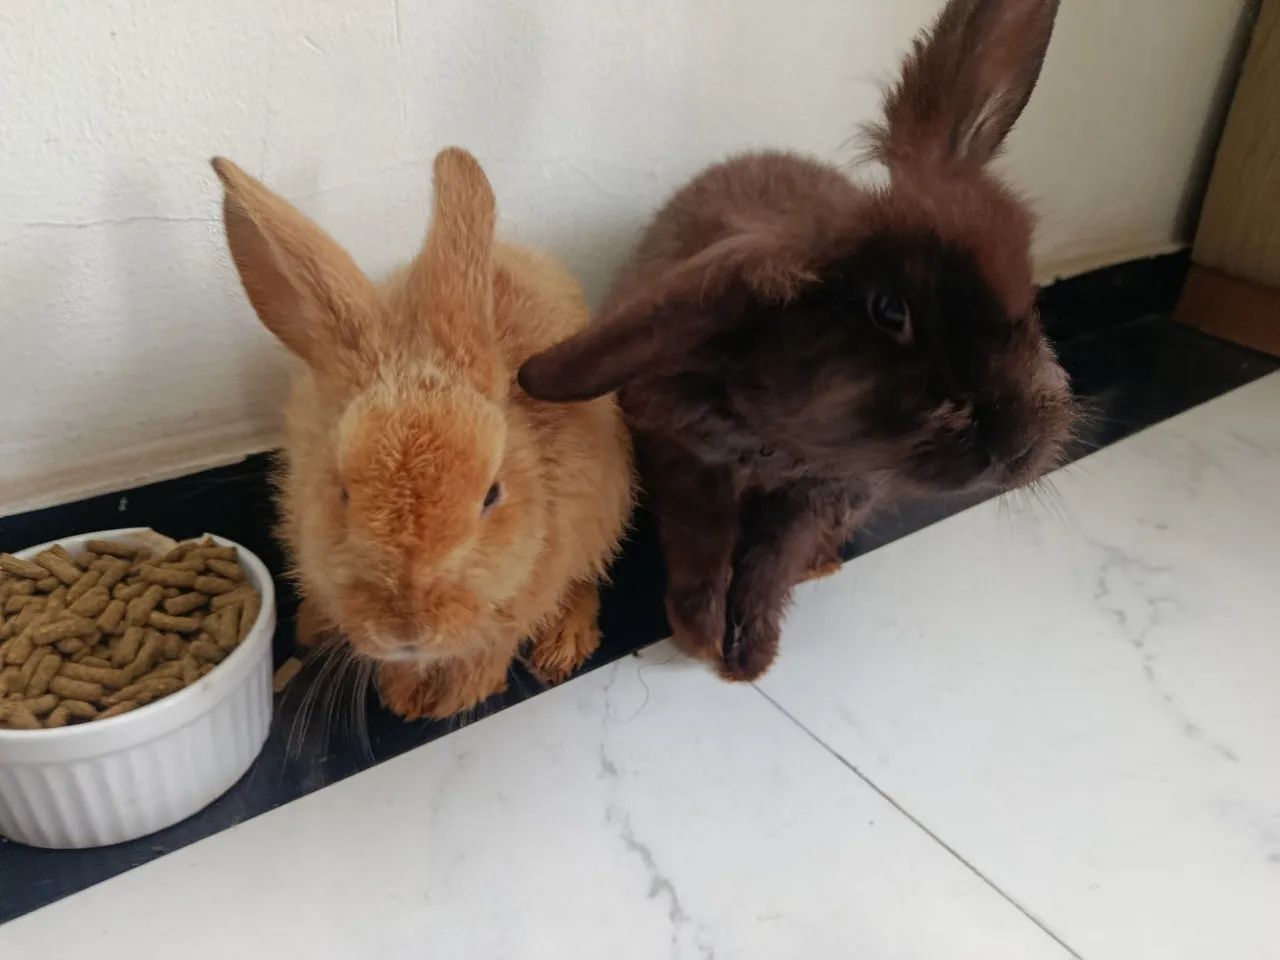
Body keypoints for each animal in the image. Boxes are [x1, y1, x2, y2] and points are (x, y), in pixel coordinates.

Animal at [213, 147, 634, 719]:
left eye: (492, 495)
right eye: (343, 493)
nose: (407, 629)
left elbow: (494, 643)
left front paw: (455, 699)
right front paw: (403, 697)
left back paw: (562, 648)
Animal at [518, 0, 1076, 682]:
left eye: (1027, 284)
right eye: (889, 311)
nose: (1020, 445)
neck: (789, 438)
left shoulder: (821, 495)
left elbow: (768, 569)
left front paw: (750, 655)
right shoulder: (687, 463)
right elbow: (702, 553)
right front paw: (703, 638)